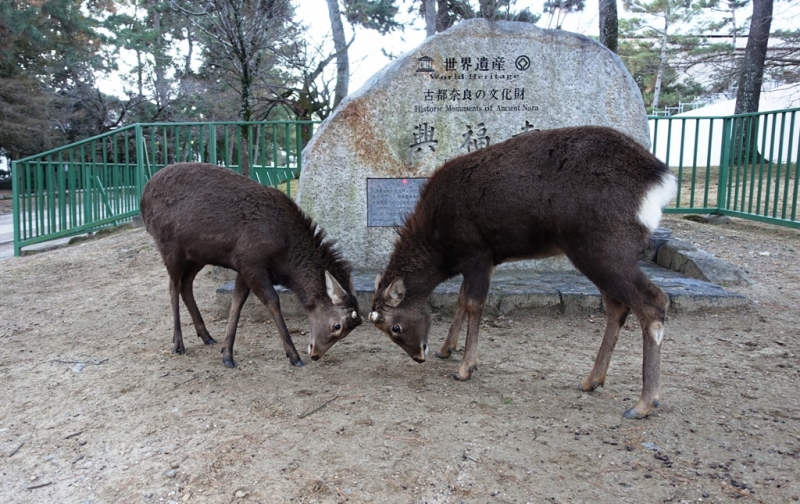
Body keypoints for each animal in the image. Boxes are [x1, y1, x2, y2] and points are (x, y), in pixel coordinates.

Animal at [139, 163, 360, 368]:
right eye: (337, 326)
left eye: (350, 329)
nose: (315, 354)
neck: (285, 259)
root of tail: (143, 197)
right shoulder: (251, 261)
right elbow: (272, 301)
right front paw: (293, 356)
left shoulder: (242, 266)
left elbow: (237, 302)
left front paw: (226, 353)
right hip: (169, 246)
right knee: (173, 286)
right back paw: (178, 343)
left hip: (196, 256)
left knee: (186, 285)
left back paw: (206, 336)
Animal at [368, 127, 676, 422]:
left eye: (394, 327)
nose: (419, 356)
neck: (442, 248)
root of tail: (661, 180)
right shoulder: (486, 260)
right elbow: (461, 298)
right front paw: (447, 349)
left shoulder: (477, 251)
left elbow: (473, 303)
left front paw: (465, 368)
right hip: (597, 253)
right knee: (617, 305)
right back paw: (592, 380)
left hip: (604, 245)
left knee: (653, 301)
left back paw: (643, 404)